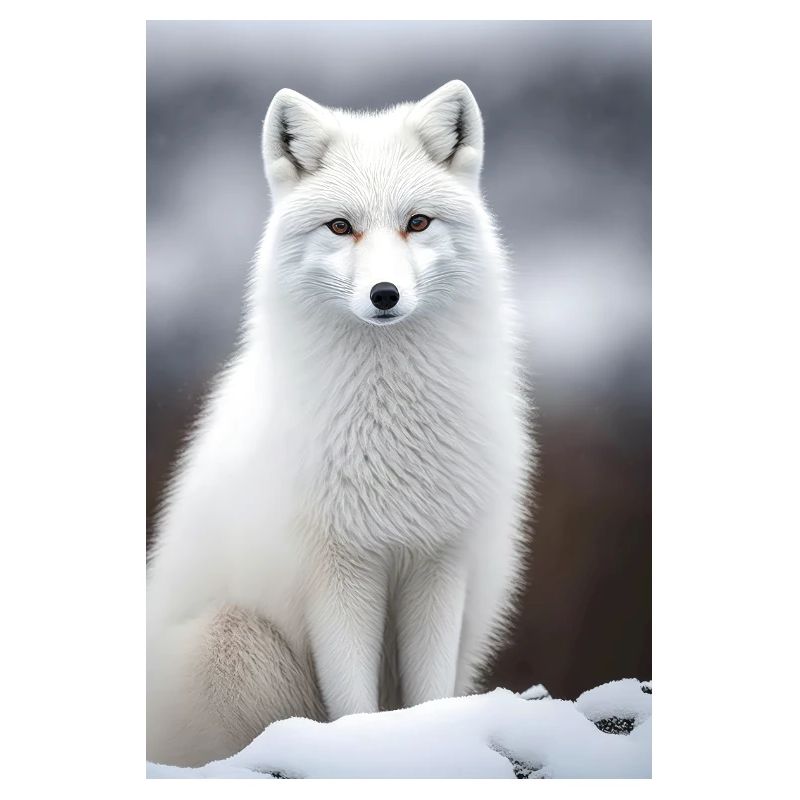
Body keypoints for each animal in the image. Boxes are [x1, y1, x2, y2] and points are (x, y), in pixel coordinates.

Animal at [146, 80, 534, 768]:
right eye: (341, 226)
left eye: (417, 222)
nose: (384, 295)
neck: (391, 427)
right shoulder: (338, 570)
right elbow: (352, 701)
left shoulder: (438, 562)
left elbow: (430, 692)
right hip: (236, 644)